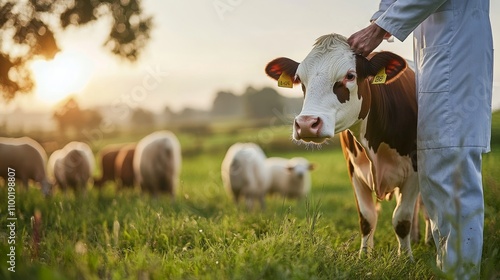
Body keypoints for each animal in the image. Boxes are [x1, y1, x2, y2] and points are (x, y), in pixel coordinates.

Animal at [266, 34, 418, 260]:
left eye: (350, 75)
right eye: (300, 79)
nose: (306, 124)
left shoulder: (416, 171)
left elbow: (402, 219)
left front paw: (406, 259)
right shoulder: (354, 170)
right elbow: (367, 218)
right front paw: (364, 257)